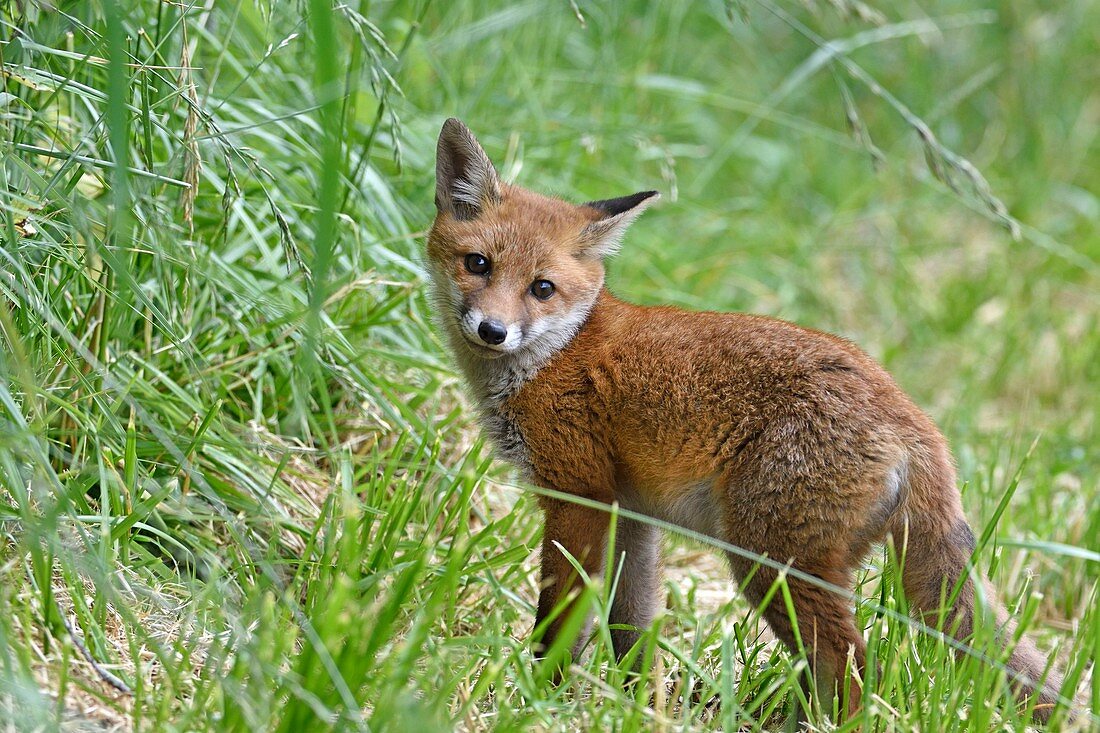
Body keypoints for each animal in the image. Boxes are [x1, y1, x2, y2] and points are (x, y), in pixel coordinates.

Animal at [426, 118, 1064, 717]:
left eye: (542, 288)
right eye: (477, 264)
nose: (492, 330)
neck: (558, 354)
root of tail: (912, 416)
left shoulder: (578, 497)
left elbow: (558, 624)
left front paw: (537, 697)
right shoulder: (631, 515)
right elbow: (634, 633)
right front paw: (643, 709)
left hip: (770, 564)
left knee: (857, 672)